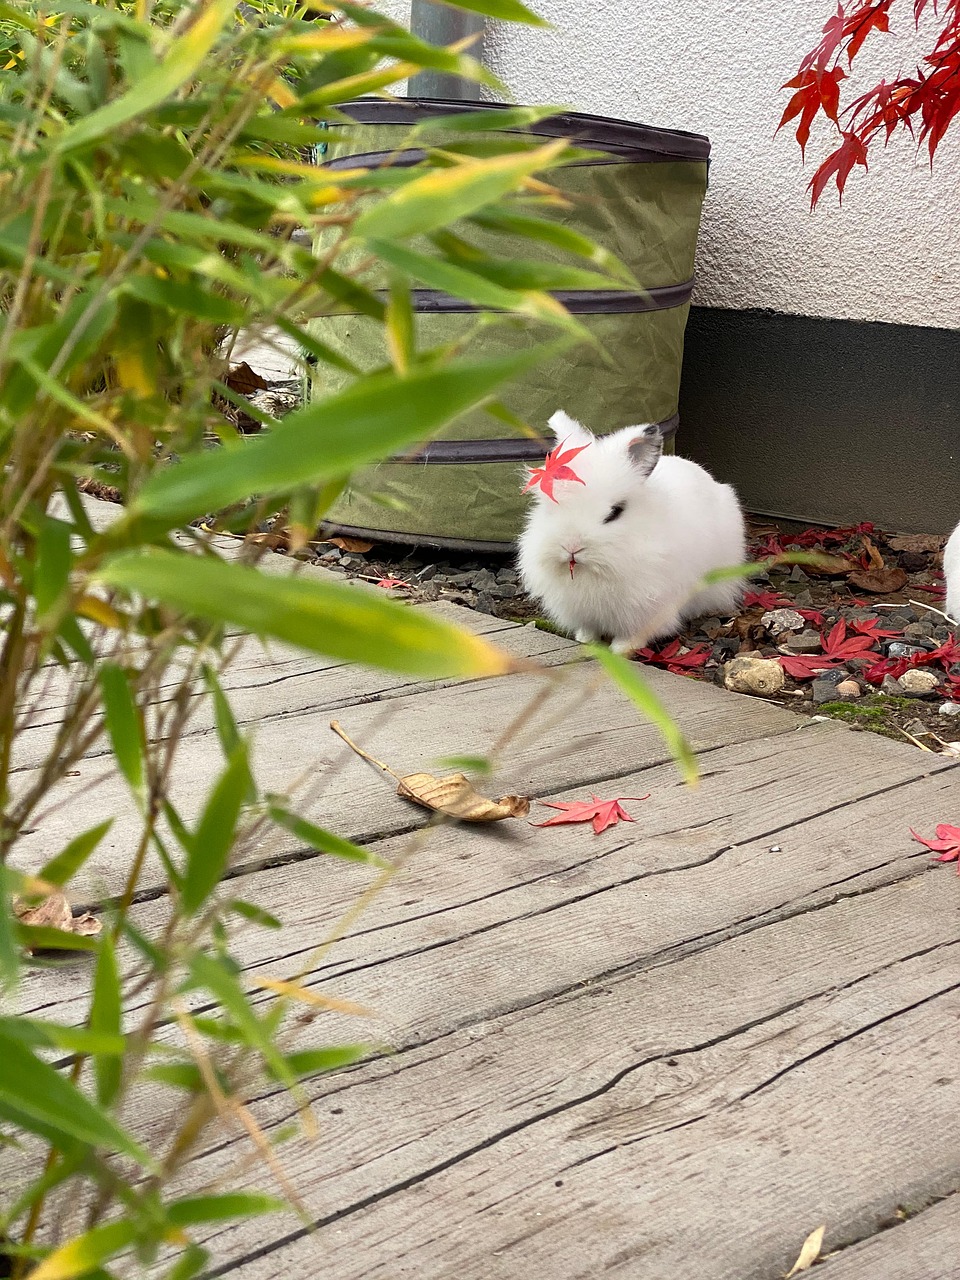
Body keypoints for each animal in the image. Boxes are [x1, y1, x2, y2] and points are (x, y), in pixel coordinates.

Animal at [517, 410, 747, 654]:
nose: (571, 546)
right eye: (551, 507)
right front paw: (586, 641)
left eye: (615, 512)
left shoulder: (648, 607)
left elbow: (633, 634)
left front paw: (621, 650)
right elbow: (589, 629)